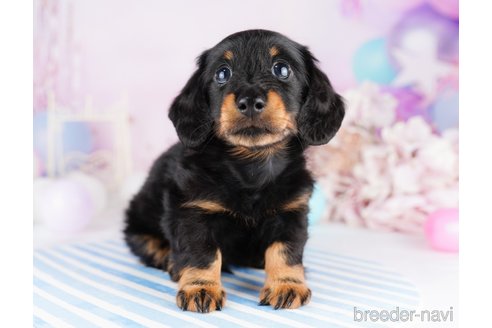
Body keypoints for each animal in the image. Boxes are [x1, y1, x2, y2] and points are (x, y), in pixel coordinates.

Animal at [125, 28, 344, 312]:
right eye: (222, 73)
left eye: (282, 69)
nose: (249, 101)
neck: (252, 164)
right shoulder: (192, 211)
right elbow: (202, 252)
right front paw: (201, 288)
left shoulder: (292, 211)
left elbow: (285, 251)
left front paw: (286, 284)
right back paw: (169, 259)